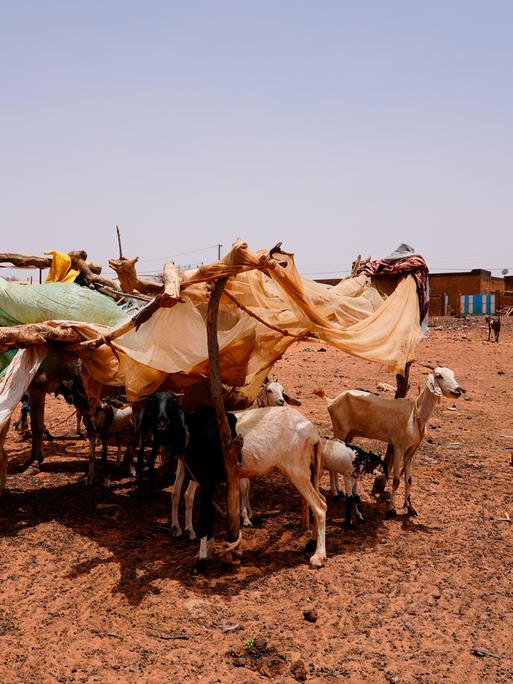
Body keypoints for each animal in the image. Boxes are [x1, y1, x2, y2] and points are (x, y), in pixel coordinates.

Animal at [314, 368, 466, 520]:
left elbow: (409, 480)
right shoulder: (399, 447)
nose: (458, 391)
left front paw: (410, 508)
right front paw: (391, 509)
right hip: (340, 429)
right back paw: (335, 492)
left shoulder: (411, 450)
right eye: (438, 376)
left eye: (453, 374)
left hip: (349, 435)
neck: (414, 415)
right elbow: (396, 480)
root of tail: (333, 400)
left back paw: (338, 491)